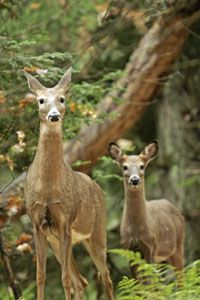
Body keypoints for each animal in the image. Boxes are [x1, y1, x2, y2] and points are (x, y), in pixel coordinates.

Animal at [23, 68, 112, 300]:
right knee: (81, 281)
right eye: (41, 100)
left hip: (97, 233)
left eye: (62, 98)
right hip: (58, 241)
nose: (54, 116)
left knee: (104, 277)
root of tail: (96, 186)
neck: (47, 188)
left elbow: (63, 279)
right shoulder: (37, 224)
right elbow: (40, 276)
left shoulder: (64, 220)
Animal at [108, 142, 185, 280]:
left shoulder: (150, 248)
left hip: (178, 247)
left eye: (142, 166)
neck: (136, 230)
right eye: (125, 167)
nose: (135, 180)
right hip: (163, 258)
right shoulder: (129, 249)